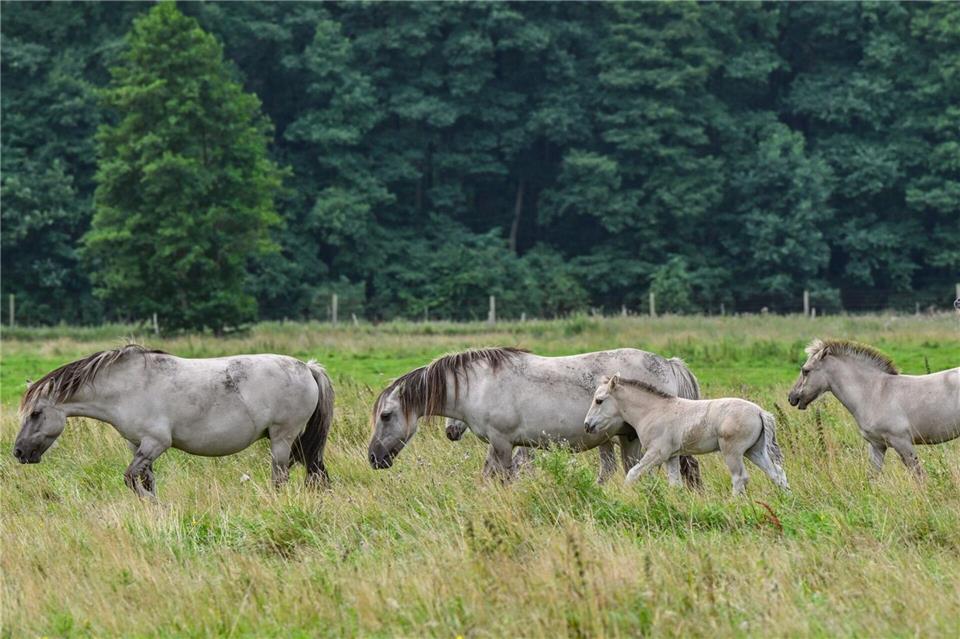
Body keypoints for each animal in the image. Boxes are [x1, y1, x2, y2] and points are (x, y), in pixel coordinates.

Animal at [13, 344, 334, 497]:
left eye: (35, 413)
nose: (18, 452)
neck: (127, 386)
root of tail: (307, 368)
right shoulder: (138, 446)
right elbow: (145, 480)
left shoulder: (156, 443)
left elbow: (130, 479)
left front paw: (152, 503)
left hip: (282, 439)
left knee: (280, 478)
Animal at [367, 346, 703, 485]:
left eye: (386, 416)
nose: (373, 457)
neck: (481, 384)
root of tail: (669, 363)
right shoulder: (501, 445)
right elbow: (488, 476)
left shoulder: (503, 443)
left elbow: (502, 478)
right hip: (627, 438)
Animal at [584, 375, 788, 495]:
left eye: (599, 400)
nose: (587, 425)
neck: (653, 410)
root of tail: (760, 411)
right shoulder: (671, 456)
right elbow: (675, 484)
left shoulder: (657, 453)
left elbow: (633, 473)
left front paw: (626, 496)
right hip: (754, 451)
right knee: (777, 474)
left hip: (733, 452)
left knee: (740, 478)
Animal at [788, 338, 960, 479]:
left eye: (805, 370)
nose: (792, 398)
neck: (875, 393)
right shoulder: (877, 445)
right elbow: (872, 477)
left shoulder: (902, 443)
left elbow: (919, 476)